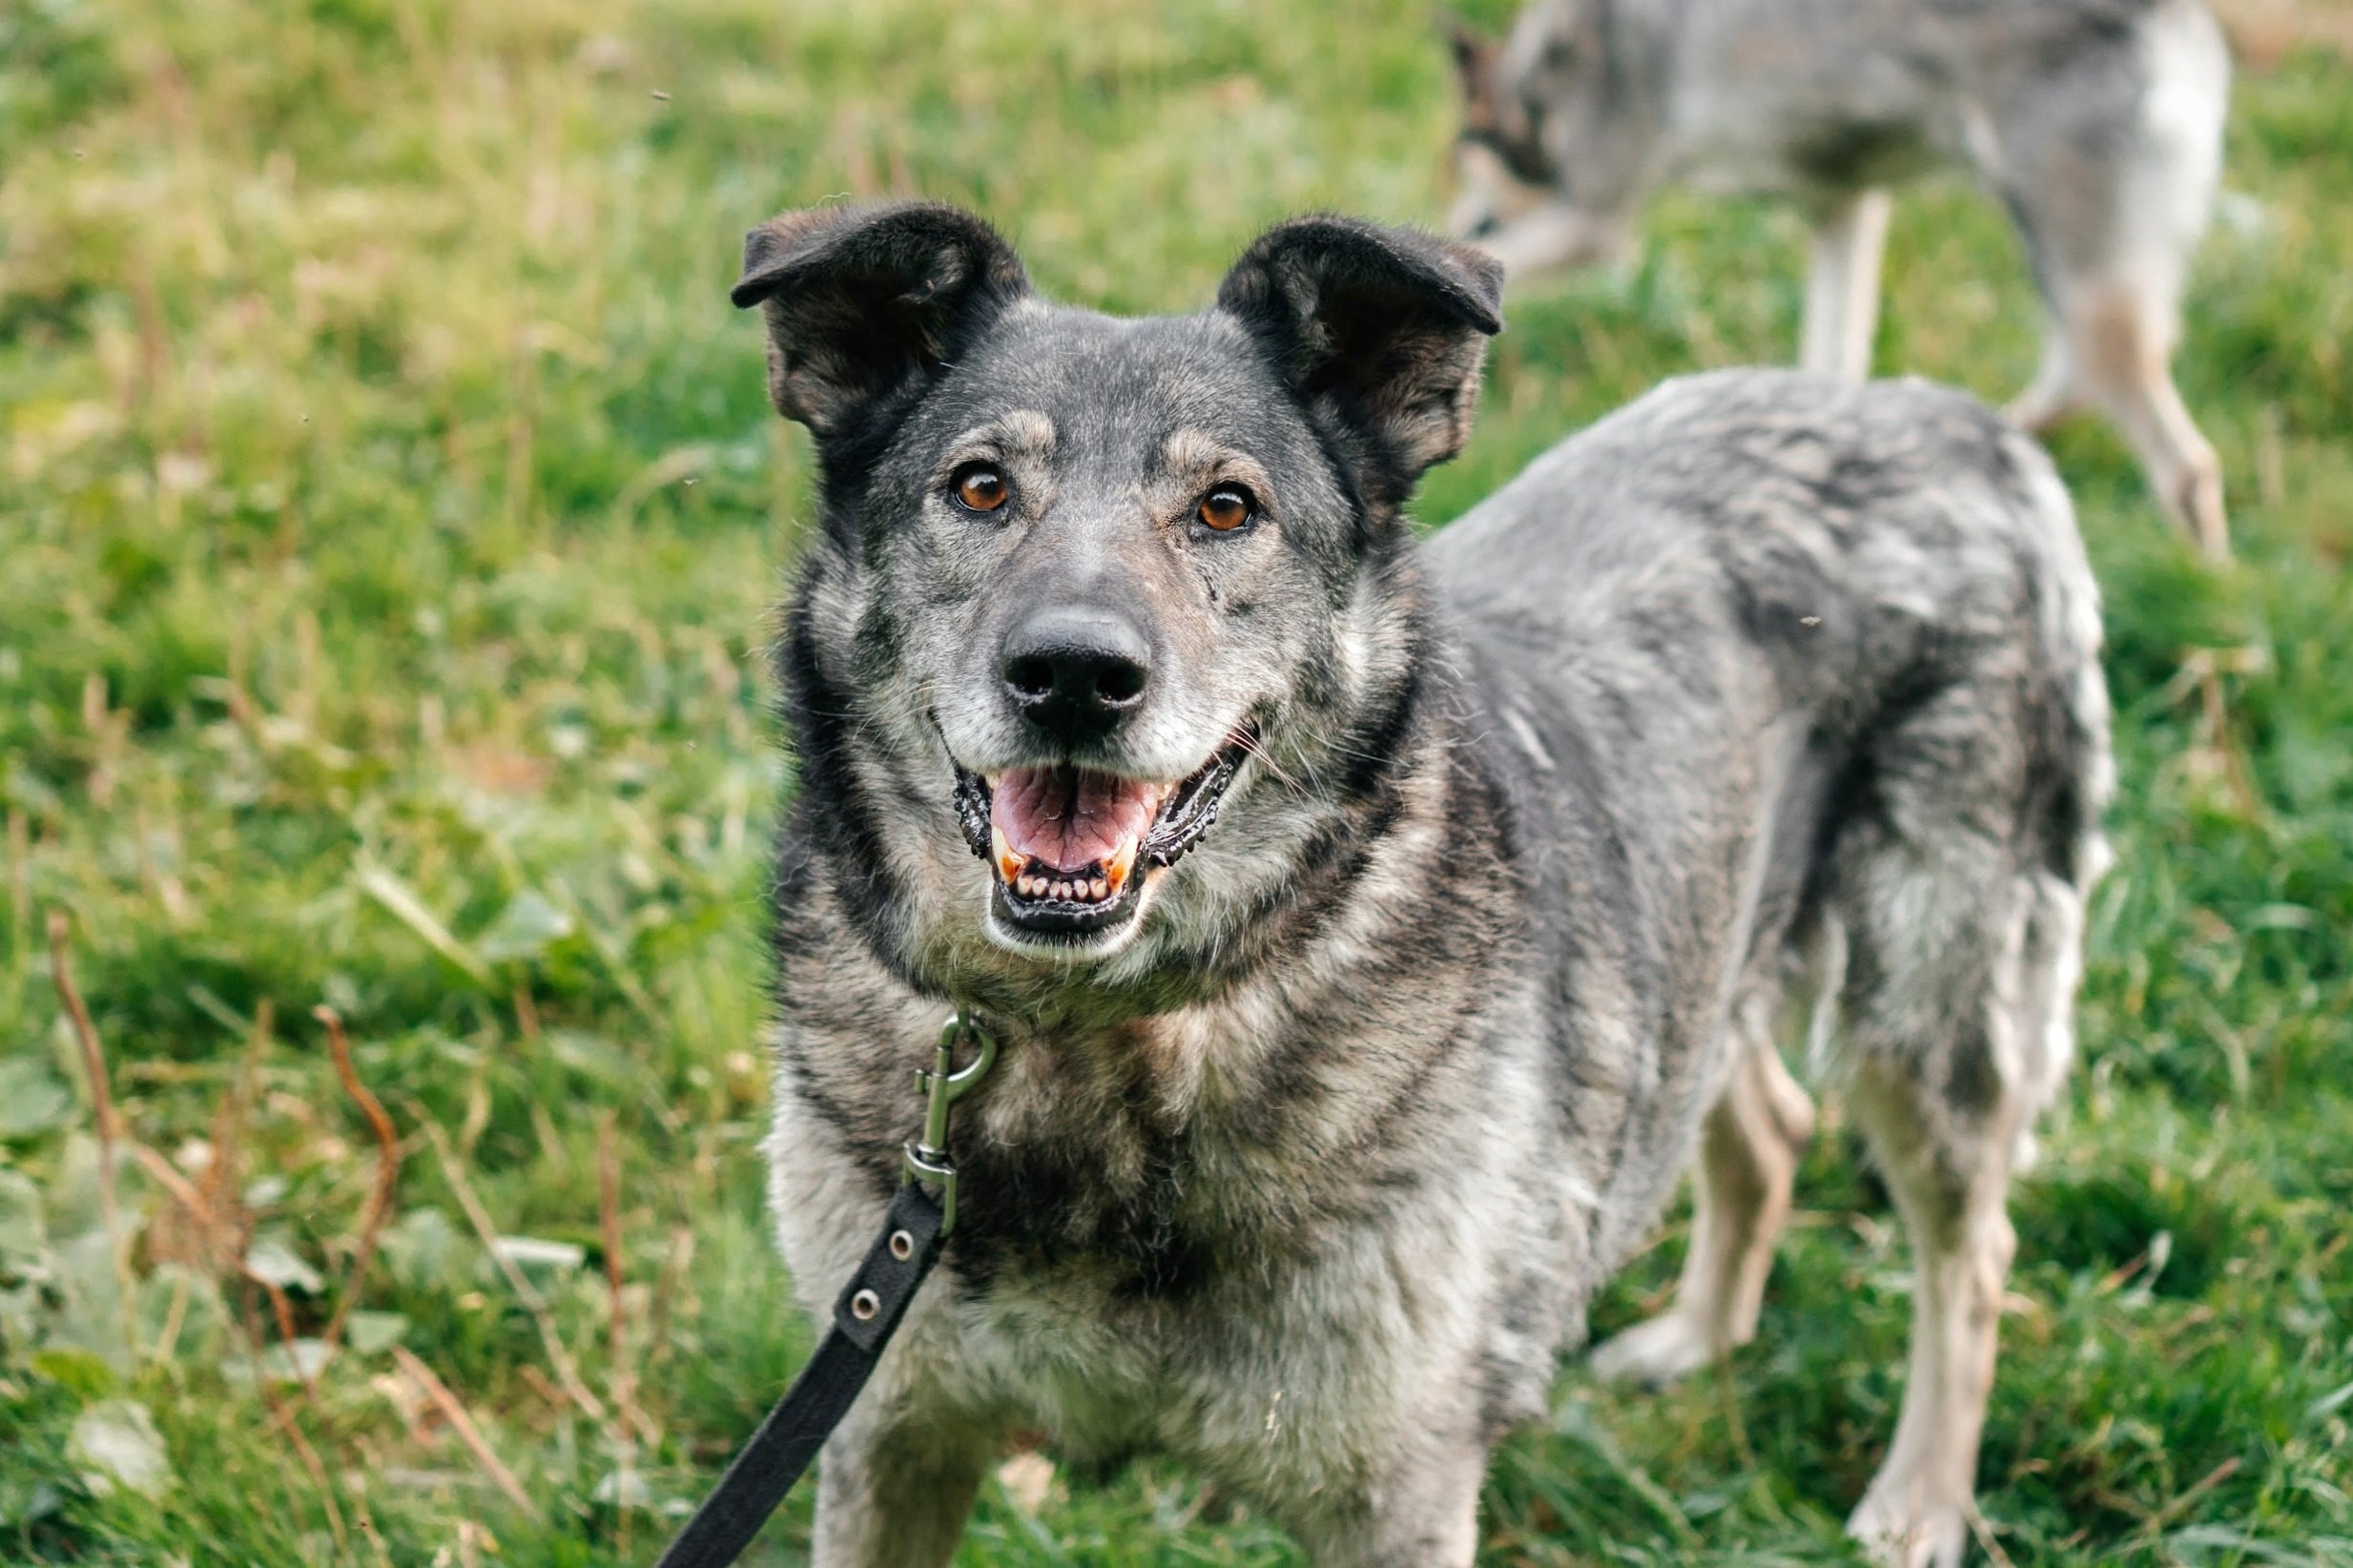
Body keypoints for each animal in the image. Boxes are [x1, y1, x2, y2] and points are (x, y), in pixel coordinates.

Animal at [738, 201, 2117, 1554]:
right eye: (978, 488)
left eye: (1226, 509)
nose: (1073, 674)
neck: (1106, 1036)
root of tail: (1942, 415)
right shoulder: (885, 1437)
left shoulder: (1395, 1492)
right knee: (1768, 1124)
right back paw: (1693, 1340)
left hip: (1932, 1006)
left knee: (1971, 1251)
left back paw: (1920, 1502)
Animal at [1439, 0, 2230, 555]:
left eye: (1475, 198)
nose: (1463, 217)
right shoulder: (1844, 209)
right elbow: (1830, 362)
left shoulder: (1595, 224)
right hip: (2078, 277)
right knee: (2068, 386)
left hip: (2079, 281)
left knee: (2184, 467)